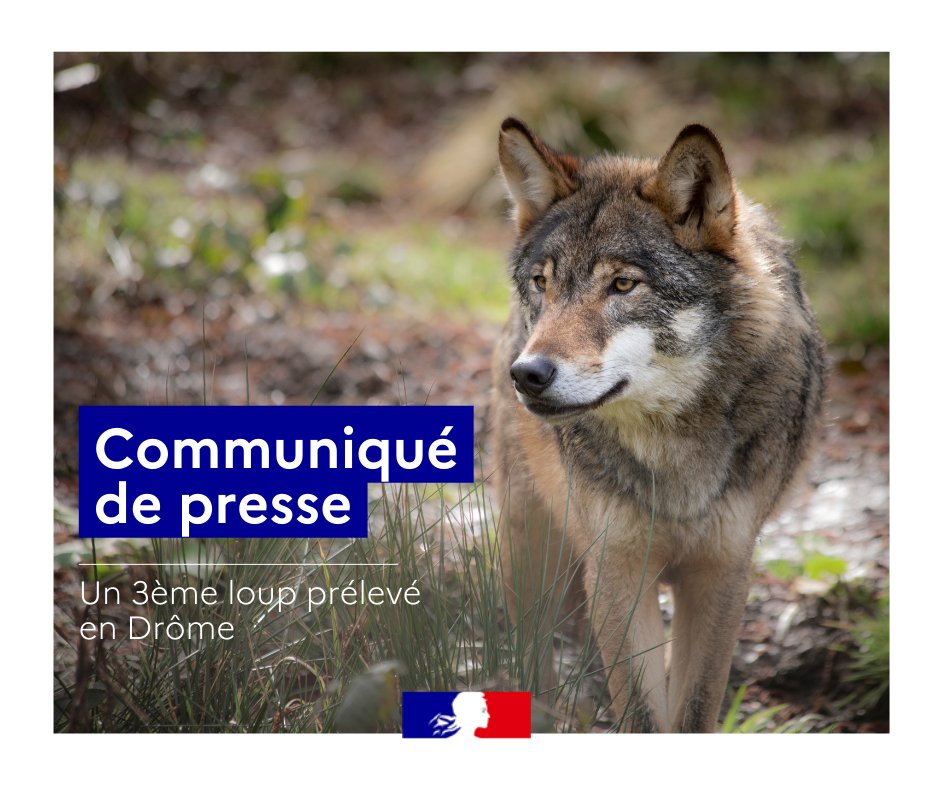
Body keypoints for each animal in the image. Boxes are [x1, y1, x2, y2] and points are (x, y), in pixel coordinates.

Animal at [490, 117, 826, 732]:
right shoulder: (617, 572)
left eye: (623, 285)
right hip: (531, 553)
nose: (527, 374)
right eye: (543, 283)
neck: (674, 455)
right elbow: (642, 716)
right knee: (534, 666)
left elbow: (691, 711)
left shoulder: (722, 573)